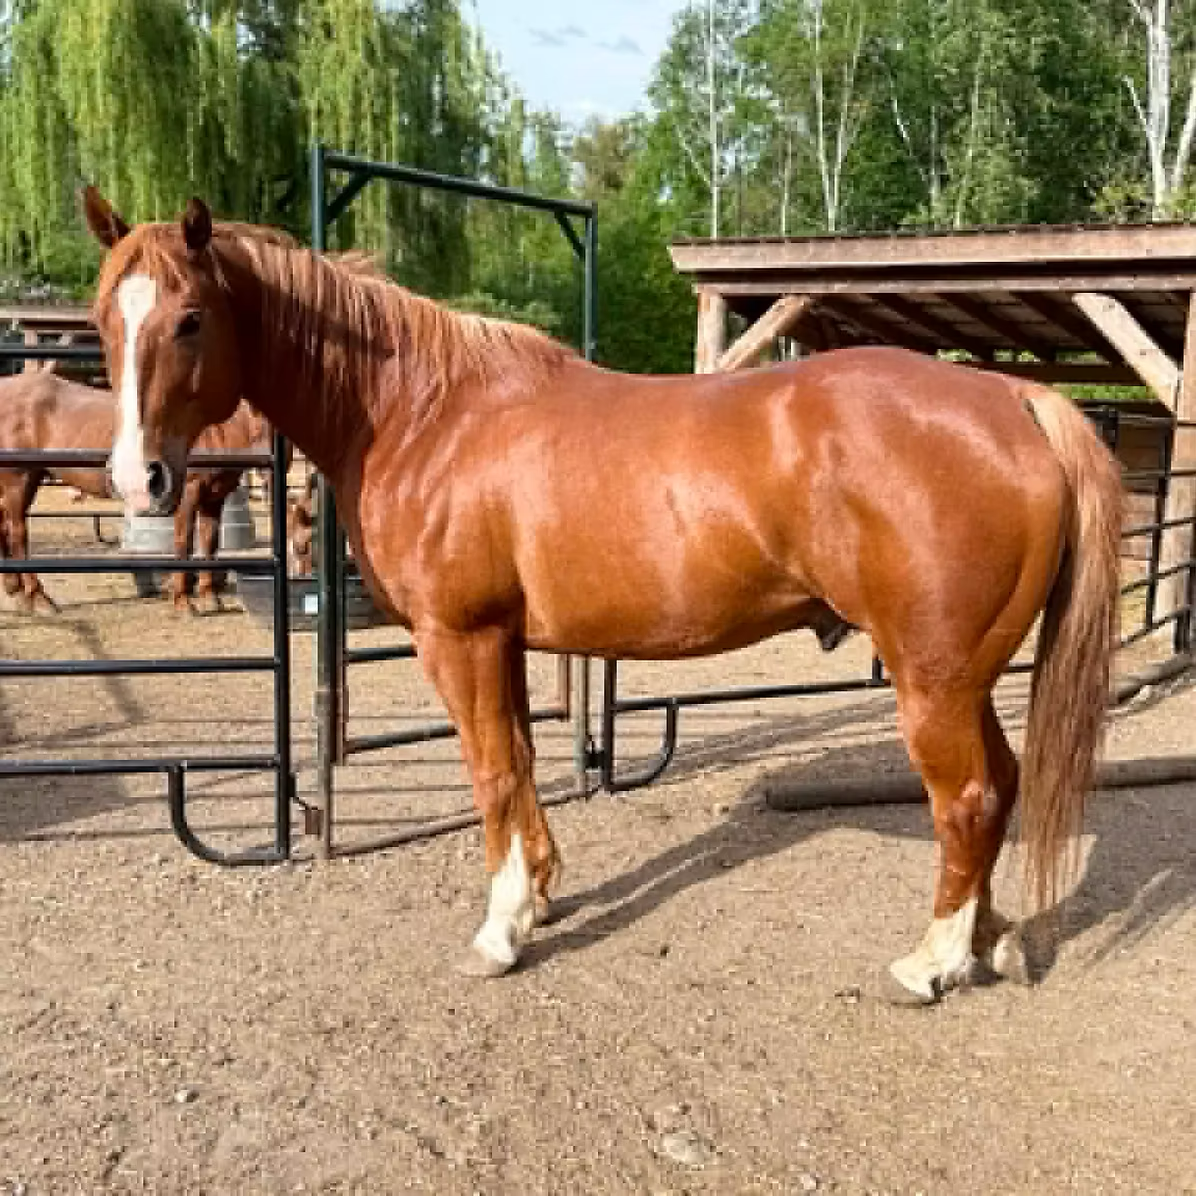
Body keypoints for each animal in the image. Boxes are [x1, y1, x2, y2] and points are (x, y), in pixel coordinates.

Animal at [0, 369, 273, 613]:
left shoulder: (214, 498)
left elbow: (210, 543)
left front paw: (210, 597)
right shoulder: (187, 495)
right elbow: (183, 542)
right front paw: (183, 602)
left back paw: (16, 591)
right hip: (18, 479)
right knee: (18, 533)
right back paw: (38, 598)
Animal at [82, 189, 1123, 1004]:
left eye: (189, 318)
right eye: (103, 319)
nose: (140, 481)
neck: (422, 413)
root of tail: (1014, 403)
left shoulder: (457, 637)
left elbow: (492, 773)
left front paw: (499, 933)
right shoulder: (501, 640)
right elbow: (522, 762)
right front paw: (539, 895)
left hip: (932, 679)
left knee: (969, 799)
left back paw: (930, 964)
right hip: (964, 679)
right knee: (1001, 786)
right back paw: (985, 944)